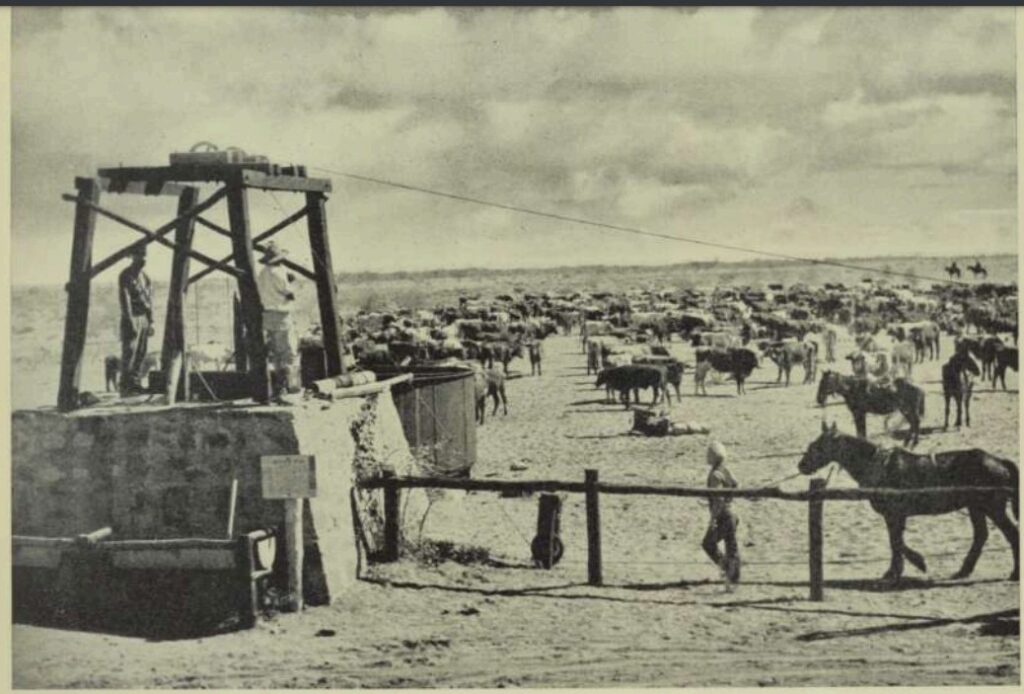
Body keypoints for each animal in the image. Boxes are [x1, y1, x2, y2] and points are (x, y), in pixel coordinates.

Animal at [798, 421, 1015, 585]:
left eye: (818, 445)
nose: (801, 465)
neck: (880, 466)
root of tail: (999, 461)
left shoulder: (895, 514)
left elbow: (896, 541)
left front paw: (913, 564)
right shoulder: (895, 516)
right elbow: (895, 541)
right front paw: (897, 570)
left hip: (993, 508)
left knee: (1011, 533)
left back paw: (1014, 573)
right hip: (976, 507)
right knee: (981, 535)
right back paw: (963, 571)